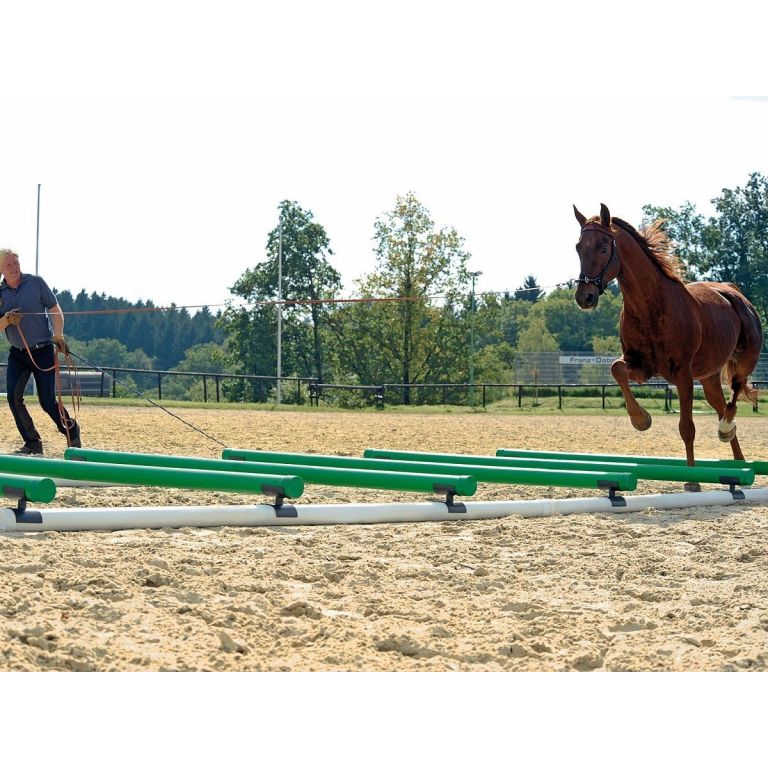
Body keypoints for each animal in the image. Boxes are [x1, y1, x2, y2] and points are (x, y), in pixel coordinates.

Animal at [572, 204, 760, 480]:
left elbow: (687, 427)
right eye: (578, 247)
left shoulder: (682, 374)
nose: (584, 297)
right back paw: (737, 457)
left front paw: (692, 481)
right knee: (721, 405)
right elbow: (617, 370)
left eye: (604, 248)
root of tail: (732, 291)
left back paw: (726, 429)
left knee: (735, 391)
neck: (650, 305)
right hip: (709, 377)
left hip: (746, 359)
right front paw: (641, 419)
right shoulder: (641, 367)